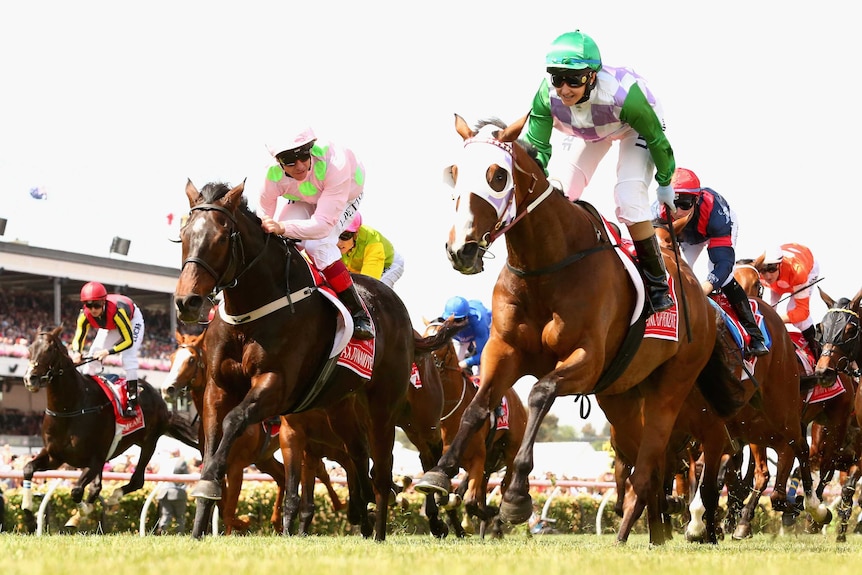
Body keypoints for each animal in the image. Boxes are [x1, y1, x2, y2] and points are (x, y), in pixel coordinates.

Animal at [176, 180, 460, 540]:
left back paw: (395, 524)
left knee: (395, 467)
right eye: (184, 234)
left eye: (222, 237)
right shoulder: (220, 389)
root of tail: (406, 321)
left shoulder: (276, 386)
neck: (251, 312)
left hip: (394, 410)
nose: (187, 301)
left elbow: (235, 420)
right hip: (342, 408)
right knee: (359, 455)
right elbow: (215, 442)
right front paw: (200, 518)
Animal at [424, 320, 528, 540]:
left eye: (442, 340)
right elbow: (445, 495)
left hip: (510, 452)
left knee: (505, 485)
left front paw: (483, 517)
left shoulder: (478, 459)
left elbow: (471, 501)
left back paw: (496, 523)